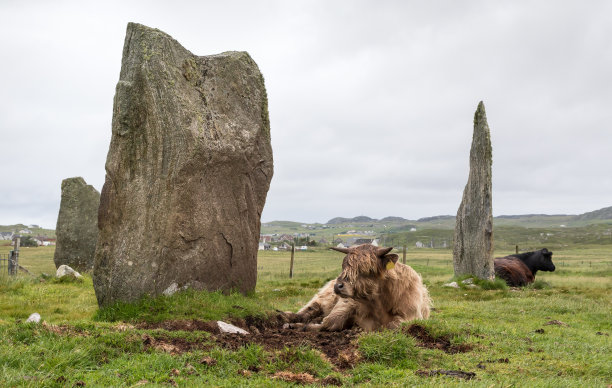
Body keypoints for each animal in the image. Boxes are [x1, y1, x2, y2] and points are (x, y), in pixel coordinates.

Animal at [286, 246, 430, 330]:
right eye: (344, 265)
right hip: (323, 300)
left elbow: (393, 325)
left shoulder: (411, 315)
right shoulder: (347, 305)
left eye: (367, 269)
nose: (338, 286)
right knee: (310, 313)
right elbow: (329, 323)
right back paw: (287, 319)